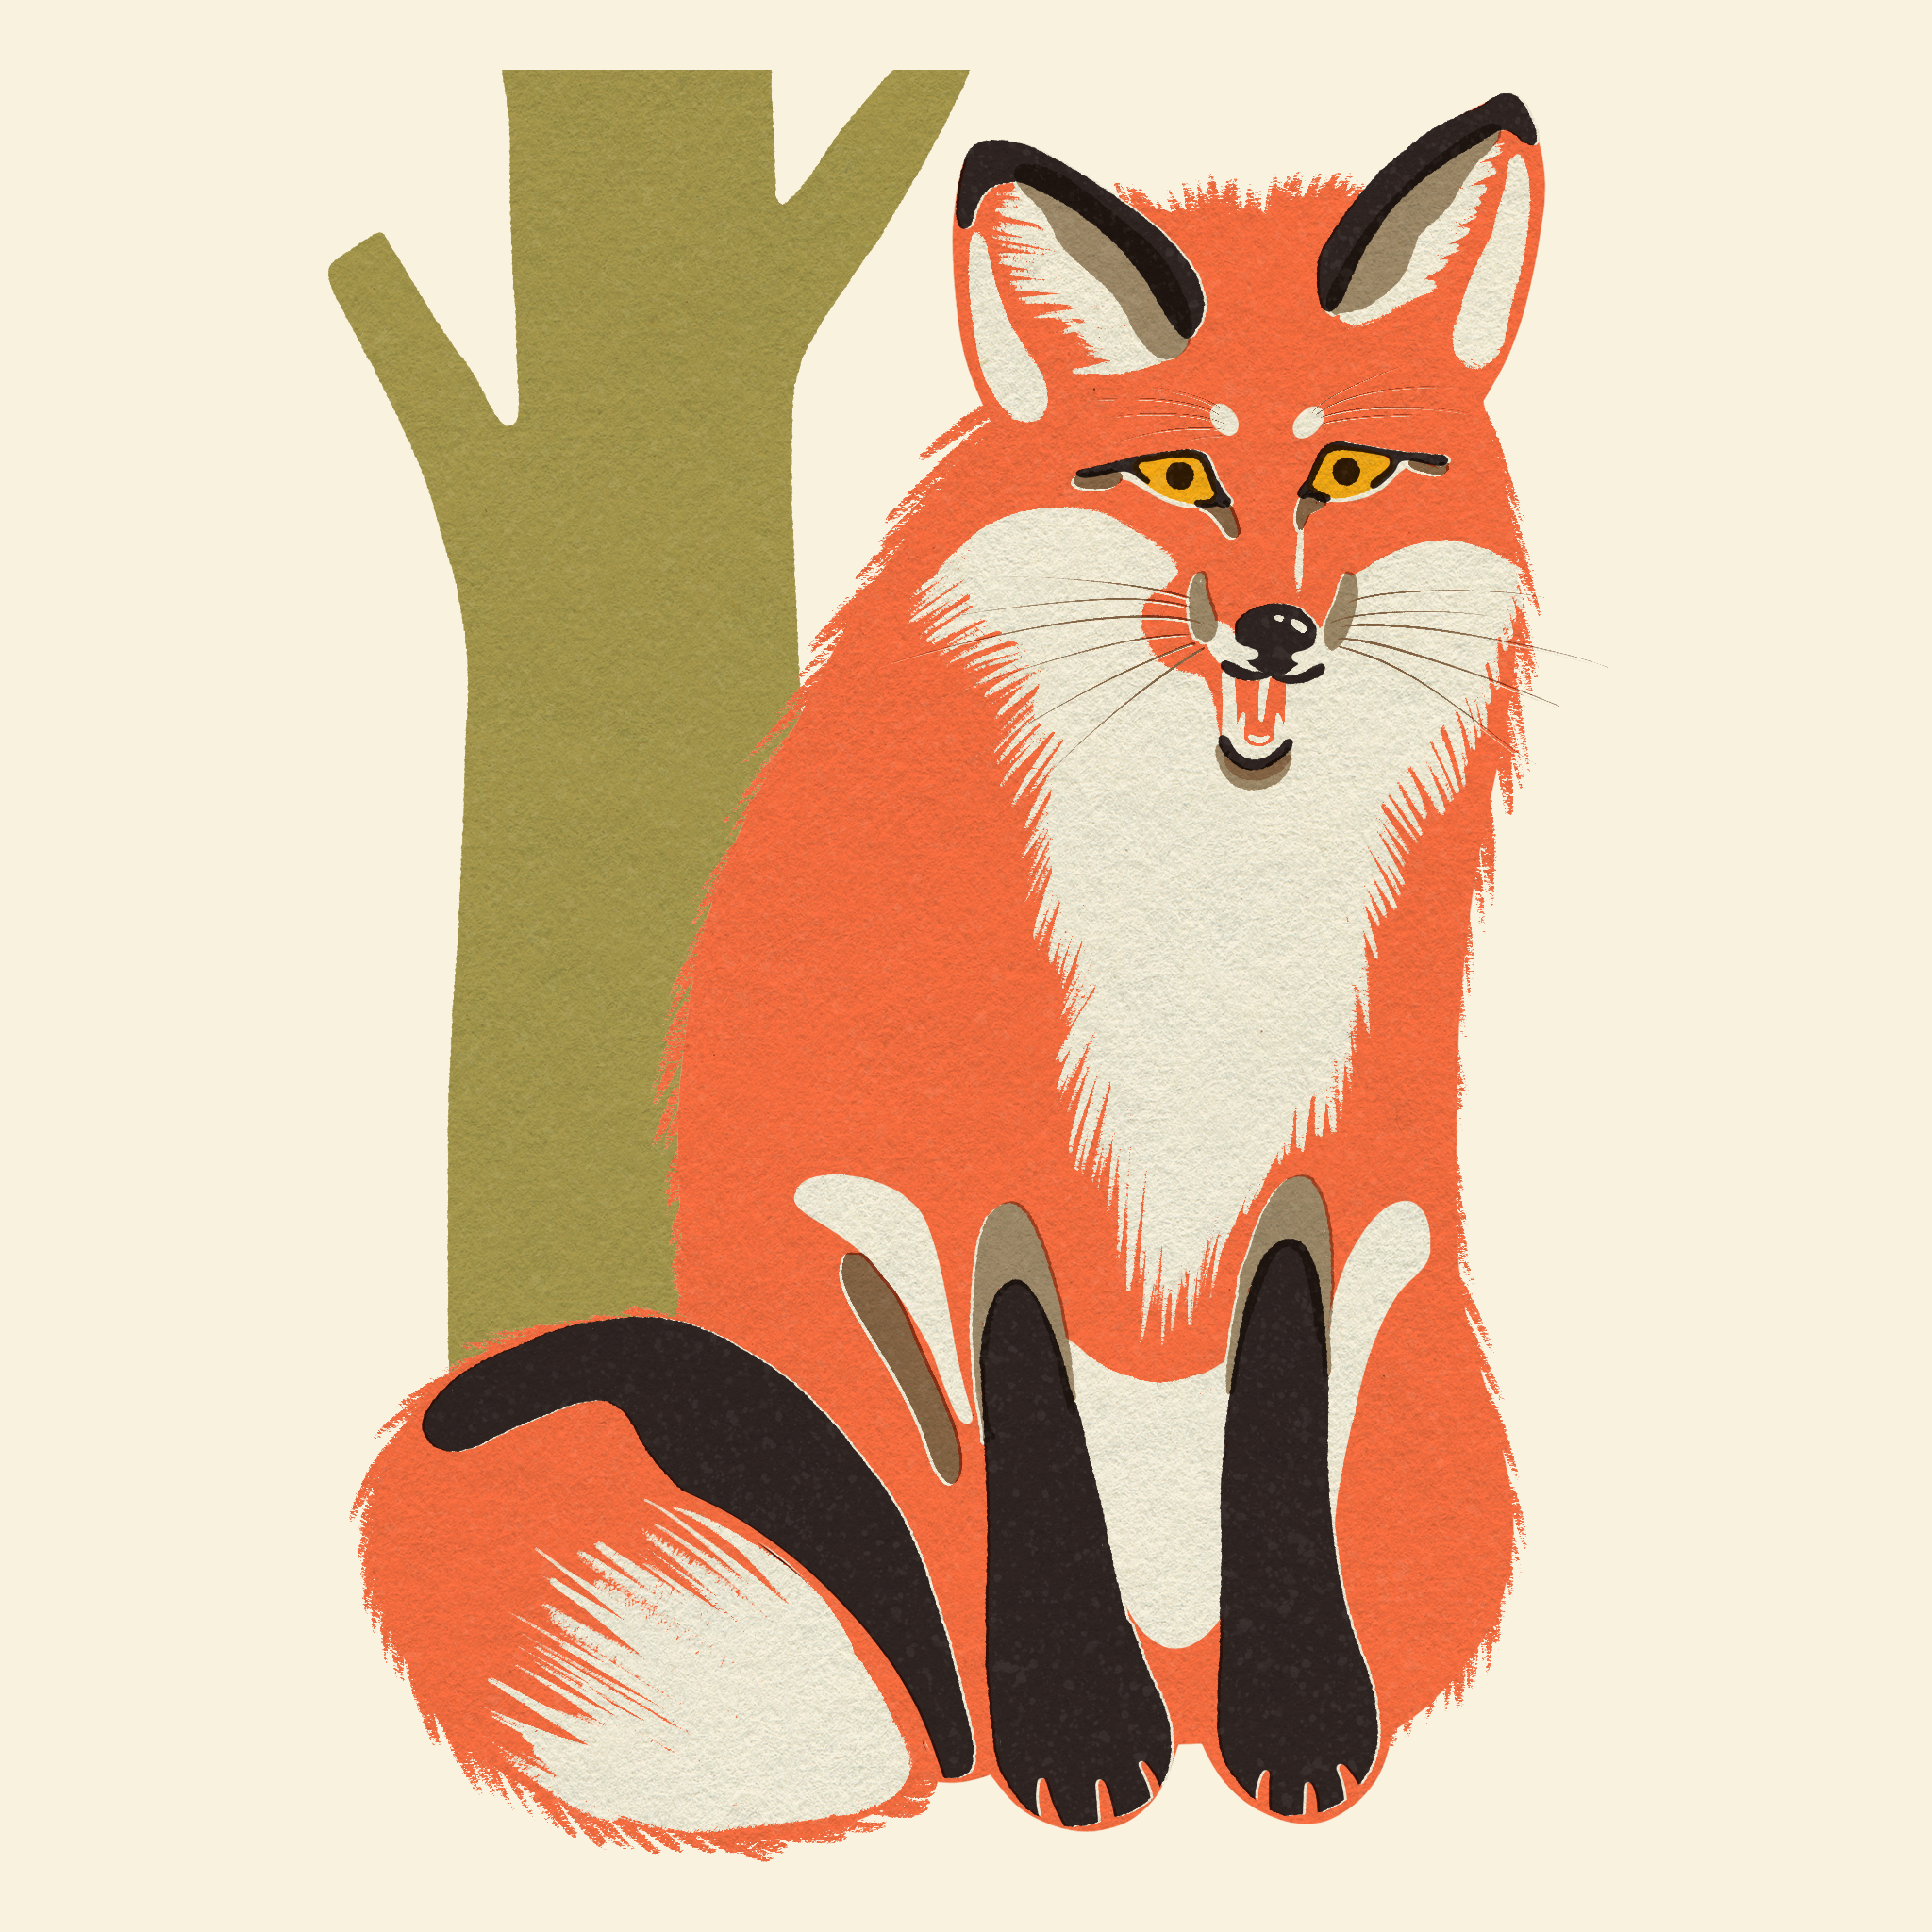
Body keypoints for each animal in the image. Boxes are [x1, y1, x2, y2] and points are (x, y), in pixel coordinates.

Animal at [359, 93, 1546, 1852]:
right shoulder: (971, 1164)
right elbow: (1029, 1429)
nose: (1272, 628)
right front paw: (1074, 1735)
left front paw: (1295, 1720)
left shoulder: (1329, 1157)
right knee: (921, 1629)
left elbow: (1273, 1409)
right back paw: (998, 1732)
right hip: (848, 1315)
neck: (1200, 891)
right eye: (1178, 473)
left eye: (1345, 469)